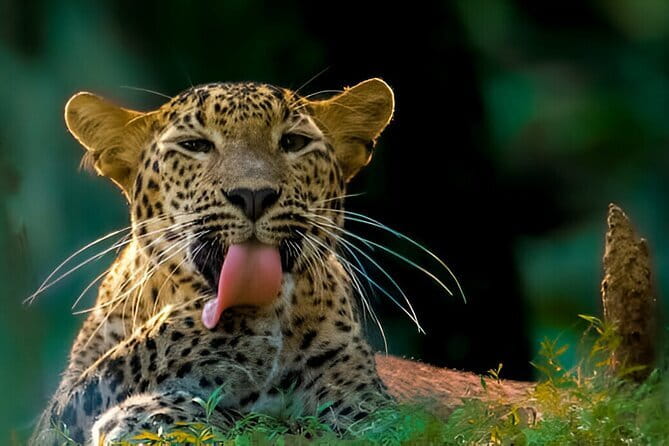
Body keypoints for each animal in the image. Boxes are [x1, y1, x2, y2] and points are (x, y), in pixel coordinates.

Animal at [30, 78, 396, 445]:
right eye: (195, 145)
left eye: (293, 142)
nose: (253, 195)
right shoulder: (51, 423)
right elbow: (116, 366)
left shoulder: (370, 408)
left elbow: (296, 427)